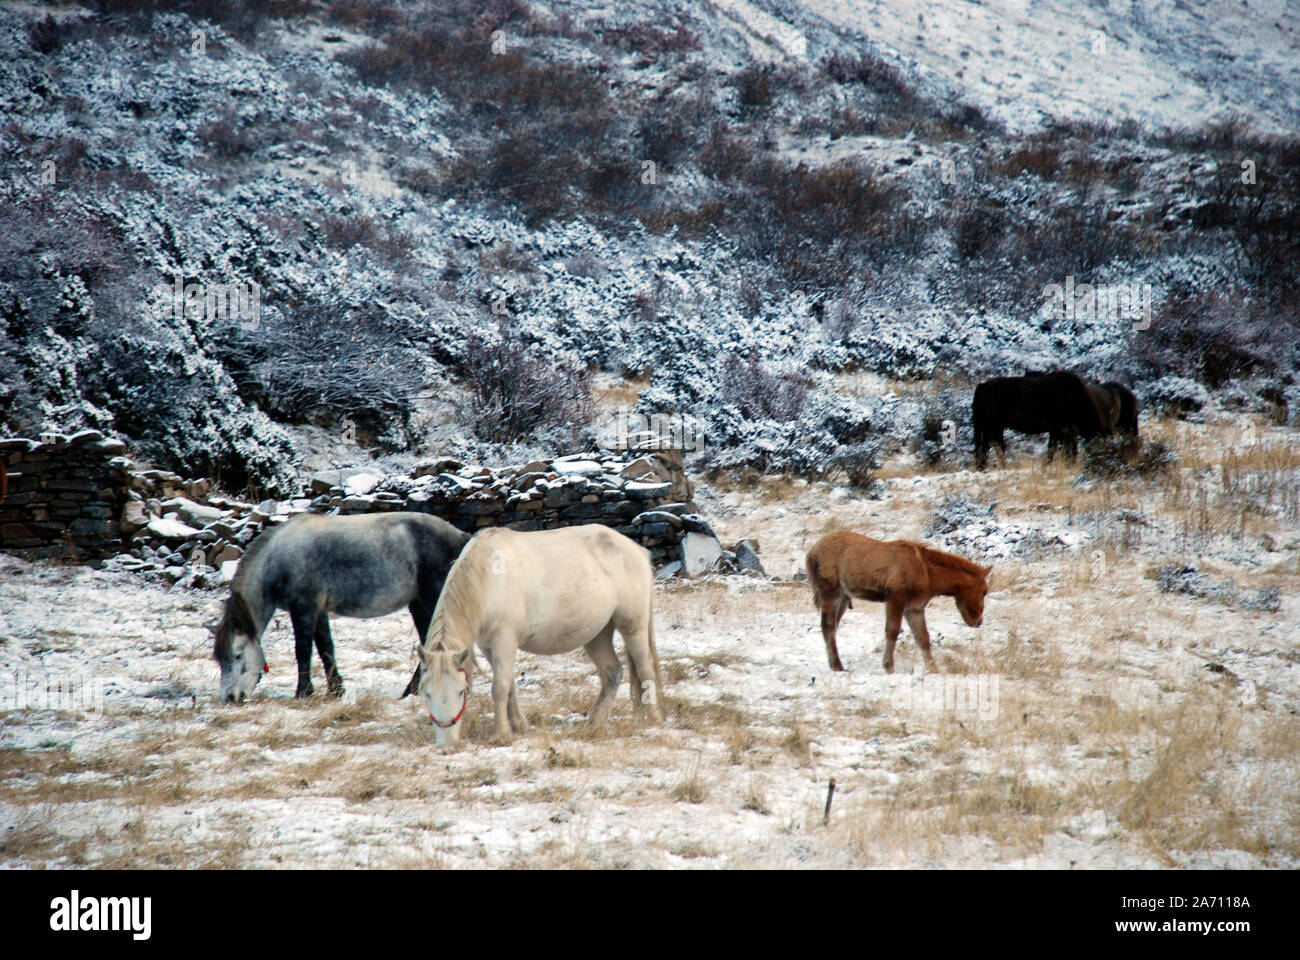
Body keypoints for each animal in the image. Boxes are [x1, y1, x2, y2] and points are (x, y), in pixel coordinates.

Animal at [205, 509, 465, 702]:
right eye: (219, 658)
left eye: (237, 654)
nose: (229, 697)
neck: (274, 560)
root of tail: (461, 537)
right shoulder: (319, 611)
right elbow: (326, 649)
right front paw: (335, 690)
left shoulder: (304, 609)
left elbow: (303, 651)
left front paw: (303, 692)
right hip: (419, 605)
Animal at [413, 522, 665, 749]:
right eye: (426, 694)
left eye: (461, 692)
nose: (447, 745)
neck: (489, 578)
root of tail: (637, 551)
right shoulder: (487, 645)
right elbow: (509, 685)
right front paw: (519, 726)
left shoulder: (505, 638)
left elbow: (499, 687)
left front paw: (501, 734)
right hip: (597, 634)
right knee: (612, 673)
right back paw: (596, 723)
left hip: (633, 627)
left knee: (645, 669)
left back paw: (653, 718)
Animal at [806, 530, 987, 671]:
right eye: (984, 592)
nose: (978, 621)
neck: (927, 573)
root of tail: (811, 552)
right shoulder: (895, 599)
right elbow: (892, 631)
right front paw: (888, 666)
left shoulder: (915, 608)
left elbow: (923, 637)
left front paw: (933, 668)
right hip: (831, 593)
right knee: (828, 625)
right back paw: (837, 665)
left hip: (844, 597)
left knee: (833, 627)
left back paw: (834, 663)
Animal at [972, 369, 1112, 468]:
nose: (1101, 461)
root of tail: (983, 386)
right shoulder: (1065, 429)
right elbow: (1068, 449)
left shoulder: (1056, 430)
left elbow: (1054, 448)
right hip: (993, 426)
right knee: (993, 447)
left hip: (991, 427)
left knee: (988, 447)